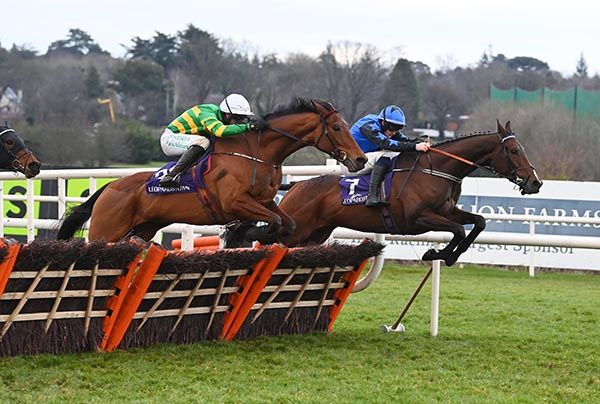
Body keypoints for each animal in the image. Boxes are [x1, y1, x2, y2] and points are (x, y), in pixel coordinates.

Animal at [57, 98, 366, 243]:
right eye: (337, 127)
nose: (360, 159)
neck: (258, 153)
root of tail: (109, 187)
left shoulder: (265, 201)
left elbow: (285, 222)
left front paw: (251, 233)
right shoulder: (235, 202)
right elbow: (276, 222)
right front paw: (249, 233)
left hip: (144, 227)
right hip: (106, 230)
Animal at [276, 120, 544, 266]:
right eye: (513, 150)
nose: (535, 182)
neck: (437, 169)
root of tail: (296, 186)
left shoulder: (448, 211)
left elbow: (478, 222)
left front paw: (450, 256)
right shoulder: (418, 218)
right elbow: (458, 230)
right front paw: (436, 253)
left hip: (316, 234)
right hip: (295, 231)